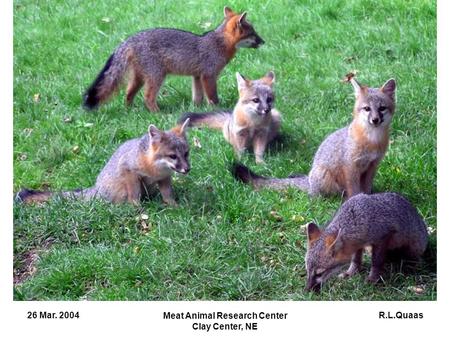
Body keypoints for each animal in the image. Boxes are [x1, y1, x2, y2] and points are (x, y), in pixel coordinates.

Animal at [16, 120, 190, 205]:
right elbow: (134, 194)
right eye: (173, 156)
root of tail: (96, 189)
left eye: (186, 154)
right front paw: (137, 208)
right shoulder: (128, 170)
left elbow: (168, 195)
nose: (188, 169)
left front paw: (174, 206)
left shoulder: (164, 178)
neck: (155, 169)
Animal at [82, 5, 264, 111]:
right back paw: (156, 114)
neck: (219, 42)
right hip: (156, 77)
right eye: (253, 34)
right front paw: (216, 110)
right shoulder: (208, 75)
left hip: (139, 78)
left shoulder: (197, 76)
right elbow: (213, 97)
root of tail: (131, 39)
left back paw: (129, 110)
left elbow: (197, 96)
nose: (263, 41)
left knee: (128, 93)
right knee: (147, 97)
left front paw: (196, 109)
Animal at [234, 73, 396, 197]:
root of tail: (309, 180)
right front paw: (356, 200)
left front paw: (369, 197)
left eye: (382, 108)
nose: (375, 120)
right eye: (367, 108)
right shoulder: (350, 167)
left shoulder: (372, 165)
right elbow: (354, 190)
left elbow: (367, 188)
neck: (372, 141)